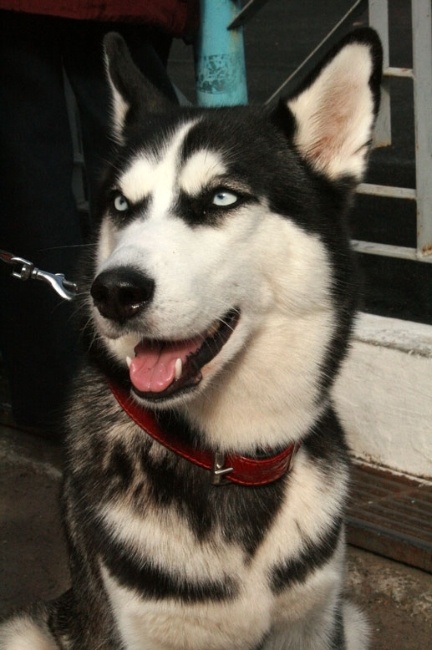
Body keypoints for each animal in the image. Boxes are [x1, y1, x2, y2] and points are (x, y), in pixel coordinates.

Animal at [0, 28, 382, 650]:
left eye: (221, 198)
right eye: (121, 204)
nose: (113, 292)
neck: (228, 454)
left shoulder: (317, 618)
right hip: (27, 630)